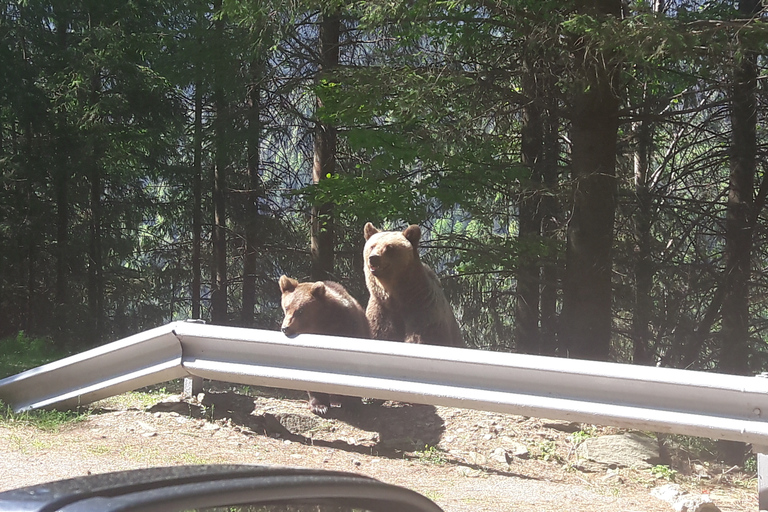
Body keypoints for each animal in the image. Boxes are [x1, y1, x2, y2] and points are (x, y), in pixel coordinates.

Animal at [278, 276, 370, 416]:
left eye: (300, 310)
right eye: (286, 307)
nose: (285, 328)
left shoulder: (349, 328)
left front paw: (352, 404)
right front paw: (319, 406)